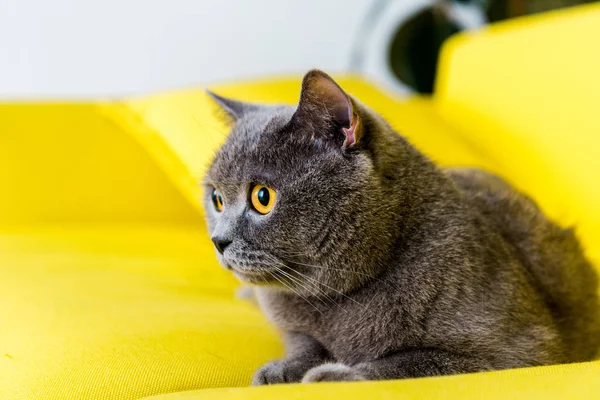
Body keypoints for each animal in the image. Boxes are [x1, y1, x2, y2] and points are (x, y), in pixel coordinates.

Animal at [203, 69, 600, 384]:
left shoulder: (522, 352)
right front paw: (282, 369)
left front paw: (335, 375)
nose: (218, 241)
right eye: (217, 199)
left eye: (262, 197)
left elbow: (412, 362)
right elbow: (304, 342)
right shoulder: (295, 324)